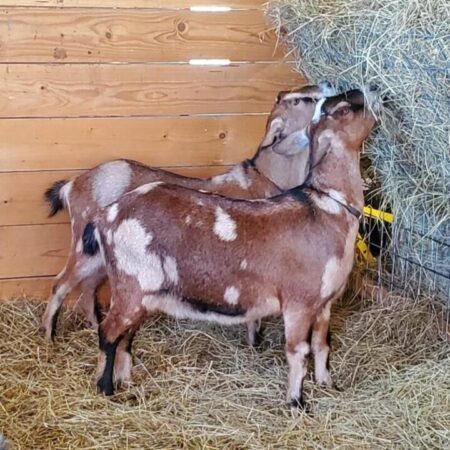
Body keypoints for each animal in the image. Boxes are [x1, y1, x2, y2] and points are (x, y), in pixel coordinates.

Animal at [41, 81, 334, 342]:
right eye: (300, 100)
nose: (329, 85)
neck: (263, 179)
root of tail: (72, 184)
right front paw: (254, 342)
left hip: (105, 258)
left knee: (88, 287)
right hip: (84, 247)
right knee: (61, 283)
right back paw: (48, 337)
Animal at [85, 88, 380, 408]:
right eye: (344, 110)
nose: (375, 91)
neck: (326, 207)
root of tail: (107, 215)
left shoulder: (325, 303)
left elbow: (322, 344)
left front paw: (328, 384)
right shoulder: (298, 304)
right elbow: (298, 352)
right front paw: (296, 402)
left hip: (144, 294)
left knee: (126, 335)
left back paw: (125, 381)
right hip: (131, 285)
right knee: (108, 332)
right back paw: (105, 388)